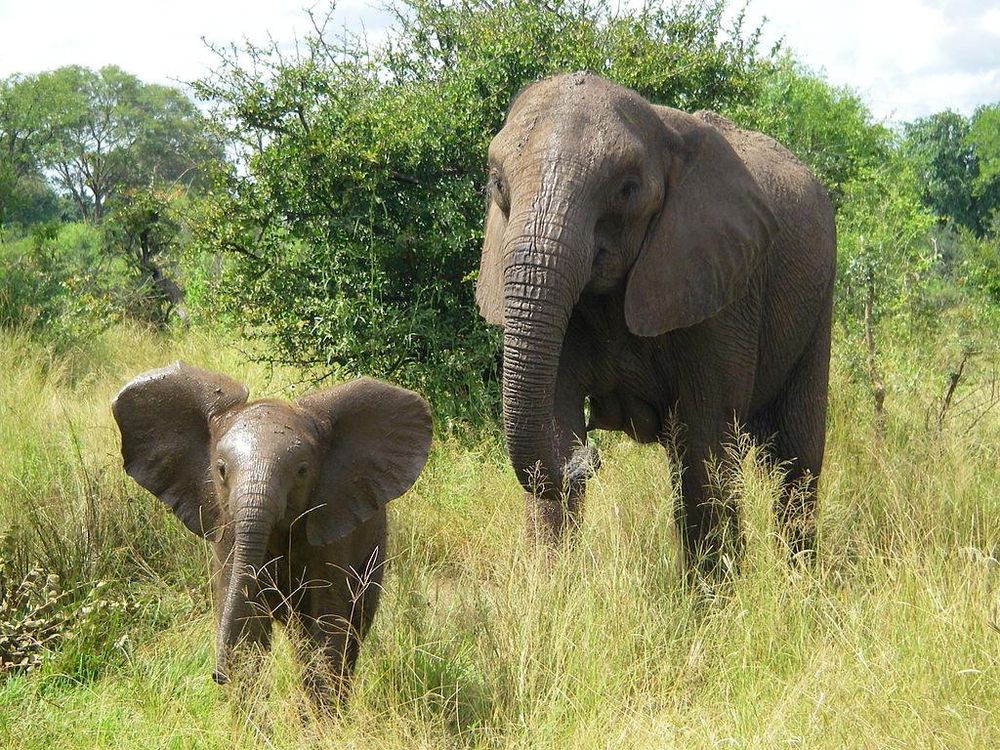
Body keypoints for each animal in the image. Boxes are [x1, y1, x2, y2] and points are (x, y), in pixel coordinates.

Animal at [111, 364, 432, 712]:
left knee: (351, 629)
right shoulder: (227, 531)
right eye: (221, 469)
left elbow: (327, 624)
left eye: (302, 471)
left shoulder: (330, 531)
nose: (216, 675)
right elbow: (248, 626)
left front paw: (321, 722)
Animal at [476, 73, 836, 572]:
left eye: (627, 190)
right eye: (497, 184)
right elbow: (553, 421)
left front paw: (715, 593)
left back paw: (800, 578)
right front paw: (549, 586)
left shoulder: (723, 290)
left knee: (796, 456)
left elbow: (706, 448)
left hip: (818, 300)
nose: (589, 454)